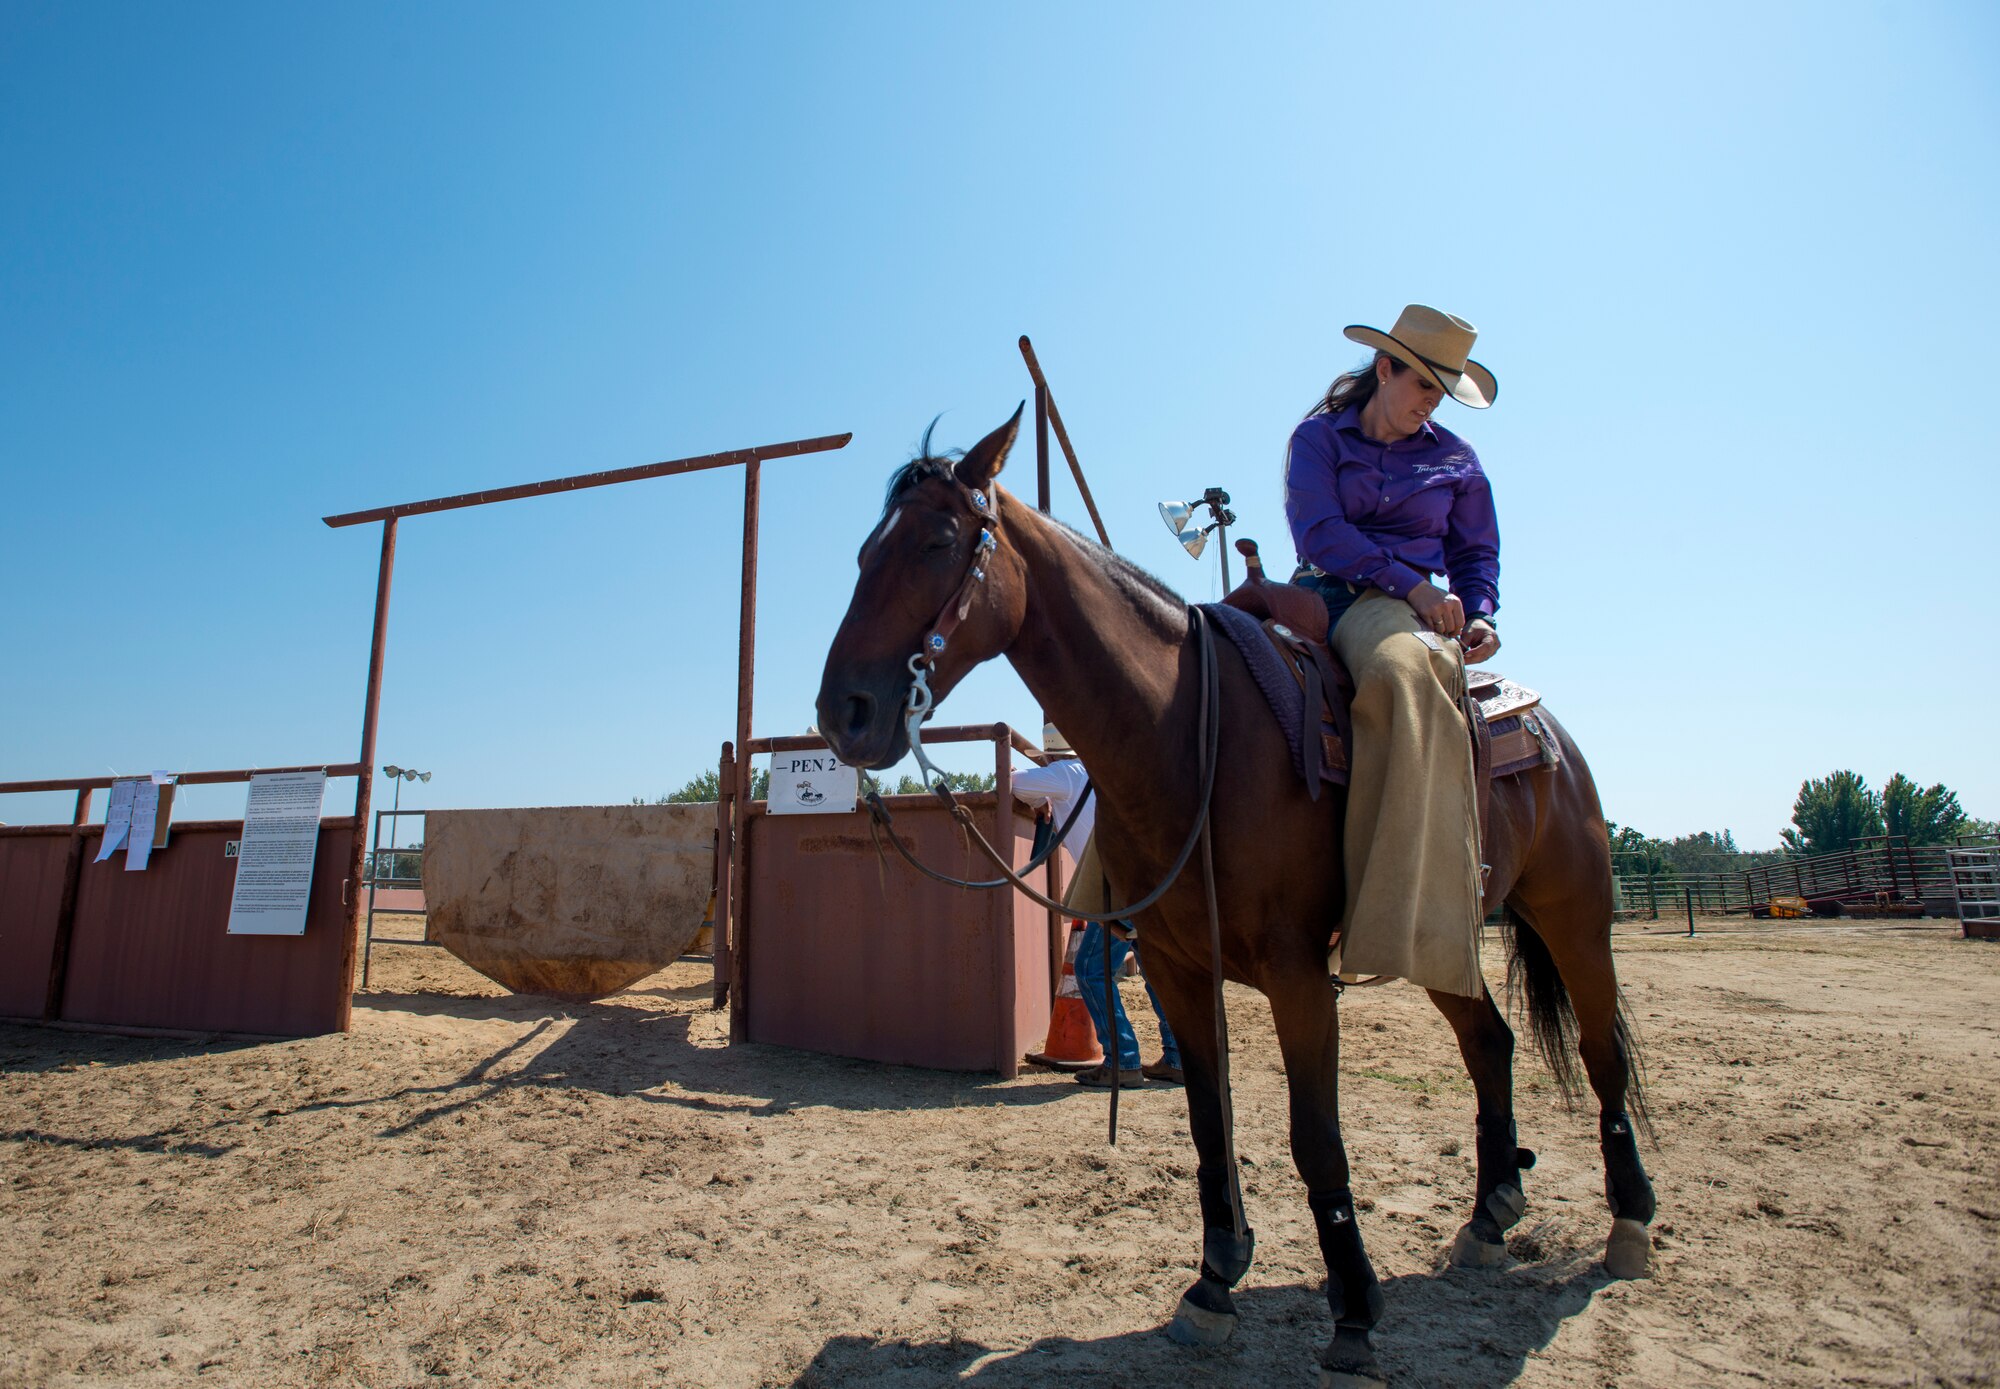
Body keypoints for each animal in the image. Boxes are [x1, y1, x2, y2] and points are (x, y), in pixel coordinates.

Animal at [812, 408, 1656, 1384]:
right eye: (865, 550)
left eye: (940, 540)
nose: (844, 712)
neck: (1185, 735)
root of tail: (1541, 722)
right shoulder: (1180, 968)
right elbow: (1208, 1123)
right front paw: (1214, 1283)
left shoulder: (1298, 976)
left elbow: (1314, 1137)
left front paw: (1355, 1310)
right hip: (1435, 930)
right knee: (1490, 1040)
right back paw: (1490, 1213)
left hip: (1574, 915)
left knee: (1600, 1050)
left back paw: (1631, 1218)